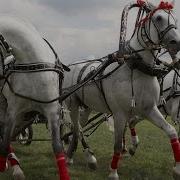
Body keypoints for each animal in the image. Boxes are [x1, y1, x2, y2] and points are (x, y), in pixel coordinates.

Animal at [63, 0, 180, 179]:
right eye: (159, 18)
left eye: (174, 18)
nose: (177, 43)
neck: (136, 68)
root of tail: (73, 66)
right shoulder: (119, 113)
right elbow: (117, 144)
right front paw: (113, 172)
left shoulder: (149, 109)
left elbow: (172, 132)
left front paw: (177, 168)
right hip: (73, 104)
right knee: (77, 129)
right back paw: (83, 156)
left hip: (87, 107)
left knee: (78, 129)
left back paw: (74, 155)